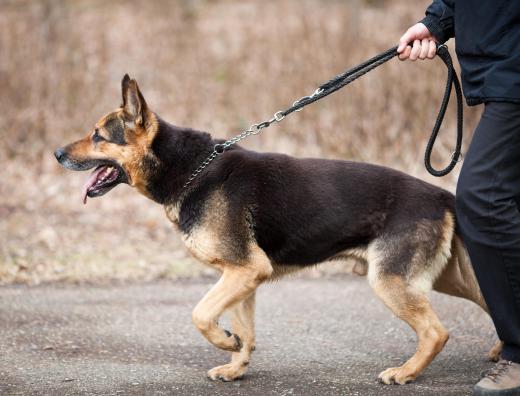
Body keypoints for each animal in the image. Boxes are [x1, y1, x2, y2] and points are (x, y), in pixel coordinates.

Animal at [52, 73, 500, 384]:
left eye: (98, 136)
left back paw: (405, 372)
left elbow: (200, 314)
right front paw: (236, 365)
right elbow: (245, 330)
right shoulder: (242, 276)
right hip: (443, 279)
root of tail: (440, 195)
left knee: (437, 332)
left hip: (391, 281)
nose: (55, 153)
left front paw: (224, 342)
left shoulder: (245, 271)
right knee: (490, 301)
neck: (190, 169)